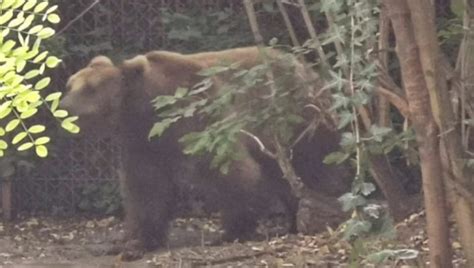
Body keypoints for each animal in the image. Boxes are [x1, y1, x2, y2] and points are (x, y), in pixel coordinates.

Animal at [59, 46, 348, 260]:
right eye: (70, 84)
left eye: (90, 88)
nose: (63, 107)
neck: (147, 109)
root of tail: (309, 69)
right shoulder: (143, 143)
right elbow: (146, 189)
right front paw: (133, 242)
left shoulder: (200, 118)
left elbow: (231, 170)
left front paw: (230, 231)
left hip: (298, 118)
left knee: (313, 163)